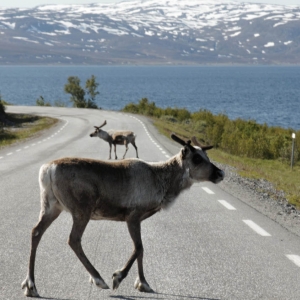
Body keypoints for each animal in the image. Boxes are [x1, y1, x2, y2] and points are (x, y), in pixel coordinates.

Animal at [21, 134, 223, 298]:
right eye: (197, 158)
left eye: (207, 156)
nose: (220, 172)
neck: (161, 182)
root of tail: (47, 170)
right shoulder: (132, 215)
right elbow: (138, 247)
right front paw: (118, 277)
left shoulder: (138, 219)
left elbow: (141, 249)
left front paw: (143, 283)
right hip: (81, 209)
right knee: (73, 239)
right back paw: (98, 279)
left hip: (51, 206)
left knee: (36, 232)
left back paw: (30, 285)